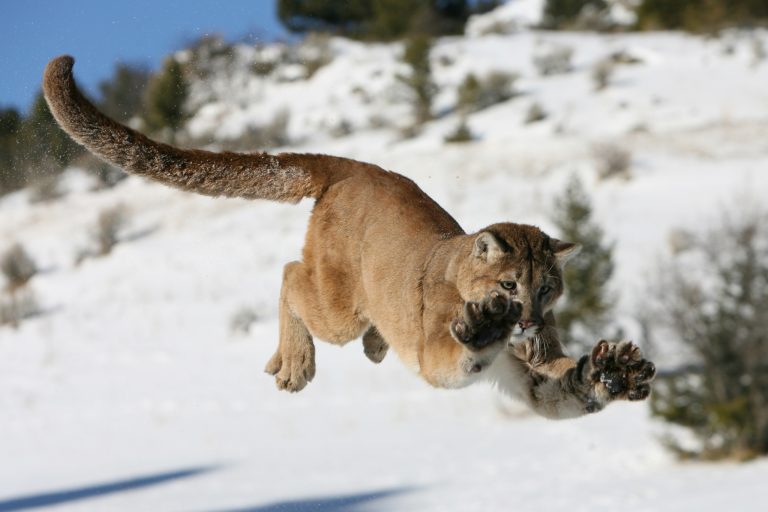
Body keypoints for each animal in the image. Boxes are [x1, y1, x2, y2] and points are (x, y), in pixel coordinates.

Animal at [42, 56, 655, 419]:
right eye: (509, 286)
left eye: (547, 289)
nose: (527, 321)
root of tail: (356, 166)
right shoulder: (436, 356)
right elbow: (462, 351)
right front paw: (484, 326)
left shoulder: (531, 378)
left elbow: (562, 386)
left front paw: (612, 372)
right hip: (338, 304)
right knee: (291, 274)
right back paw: (296, 362)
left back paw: (365, 345)